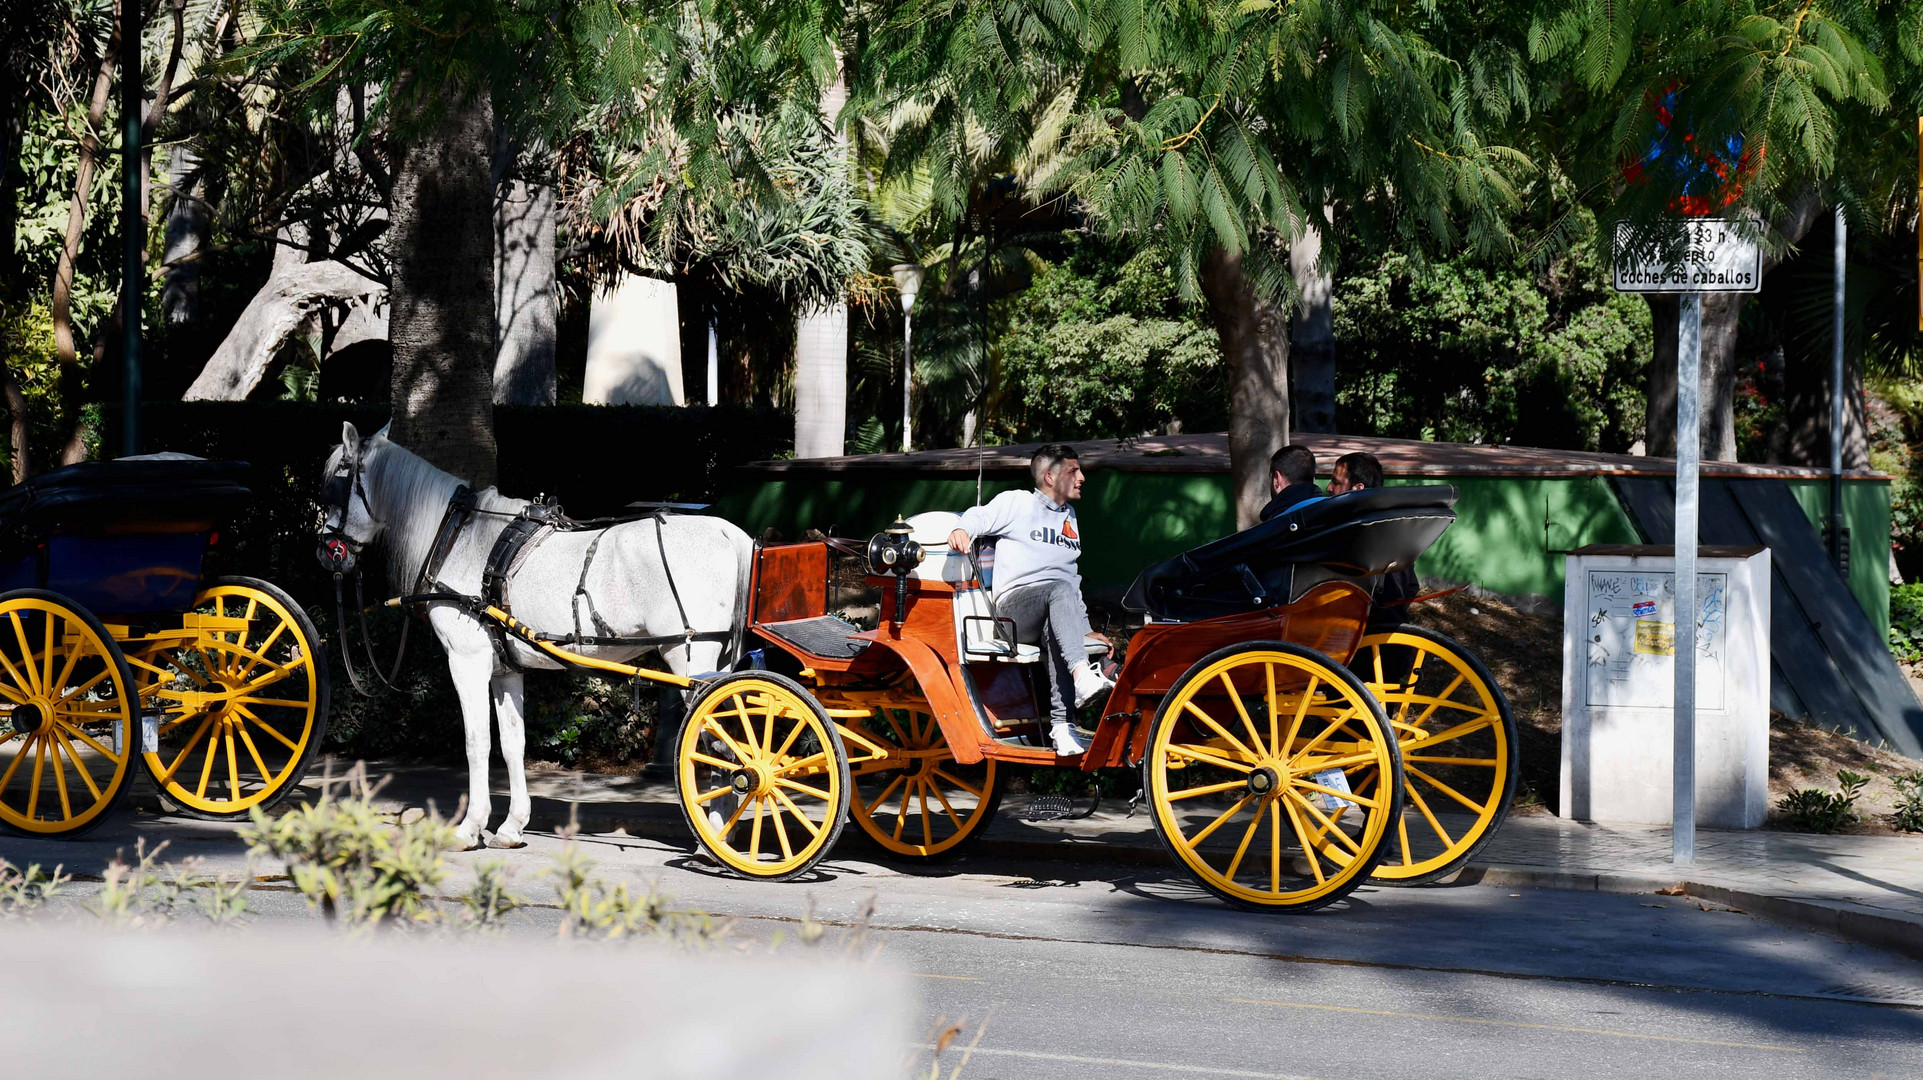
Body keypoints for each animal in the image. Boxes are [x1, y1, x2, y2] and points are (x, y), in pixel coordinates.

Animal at [323, 422, 749, 849]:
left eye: (334, 484)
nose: (326, 553)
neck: (461, 539)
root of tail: (728, 532)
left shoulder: (467, 661)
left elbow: (477, 742)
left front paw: (470, 826)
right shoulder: (504, 668)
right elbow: (513, 743)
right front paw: (511, 826)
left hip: (691, 660)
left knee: (719, 740)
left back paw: (714, 832)